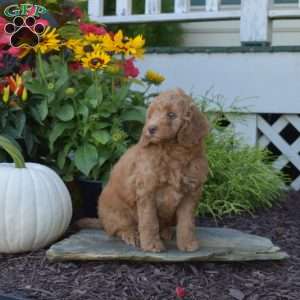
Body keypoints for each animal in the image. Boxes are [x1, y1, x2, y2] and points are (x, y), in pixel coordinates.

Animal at [77, 89, 209, 253]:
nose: (150, 129)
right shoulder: (146, 191)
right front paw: (152, 245)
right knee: (120, 227)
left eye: (171, 114)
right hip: (116, 210)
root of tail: (101, 221)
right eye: (151, 115)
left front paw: (188, 243)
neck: (172, 152)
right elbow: (149, 221)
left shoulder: (191, 192)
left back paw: (166, 232)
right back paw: (131, 235)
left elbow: (187, 222)